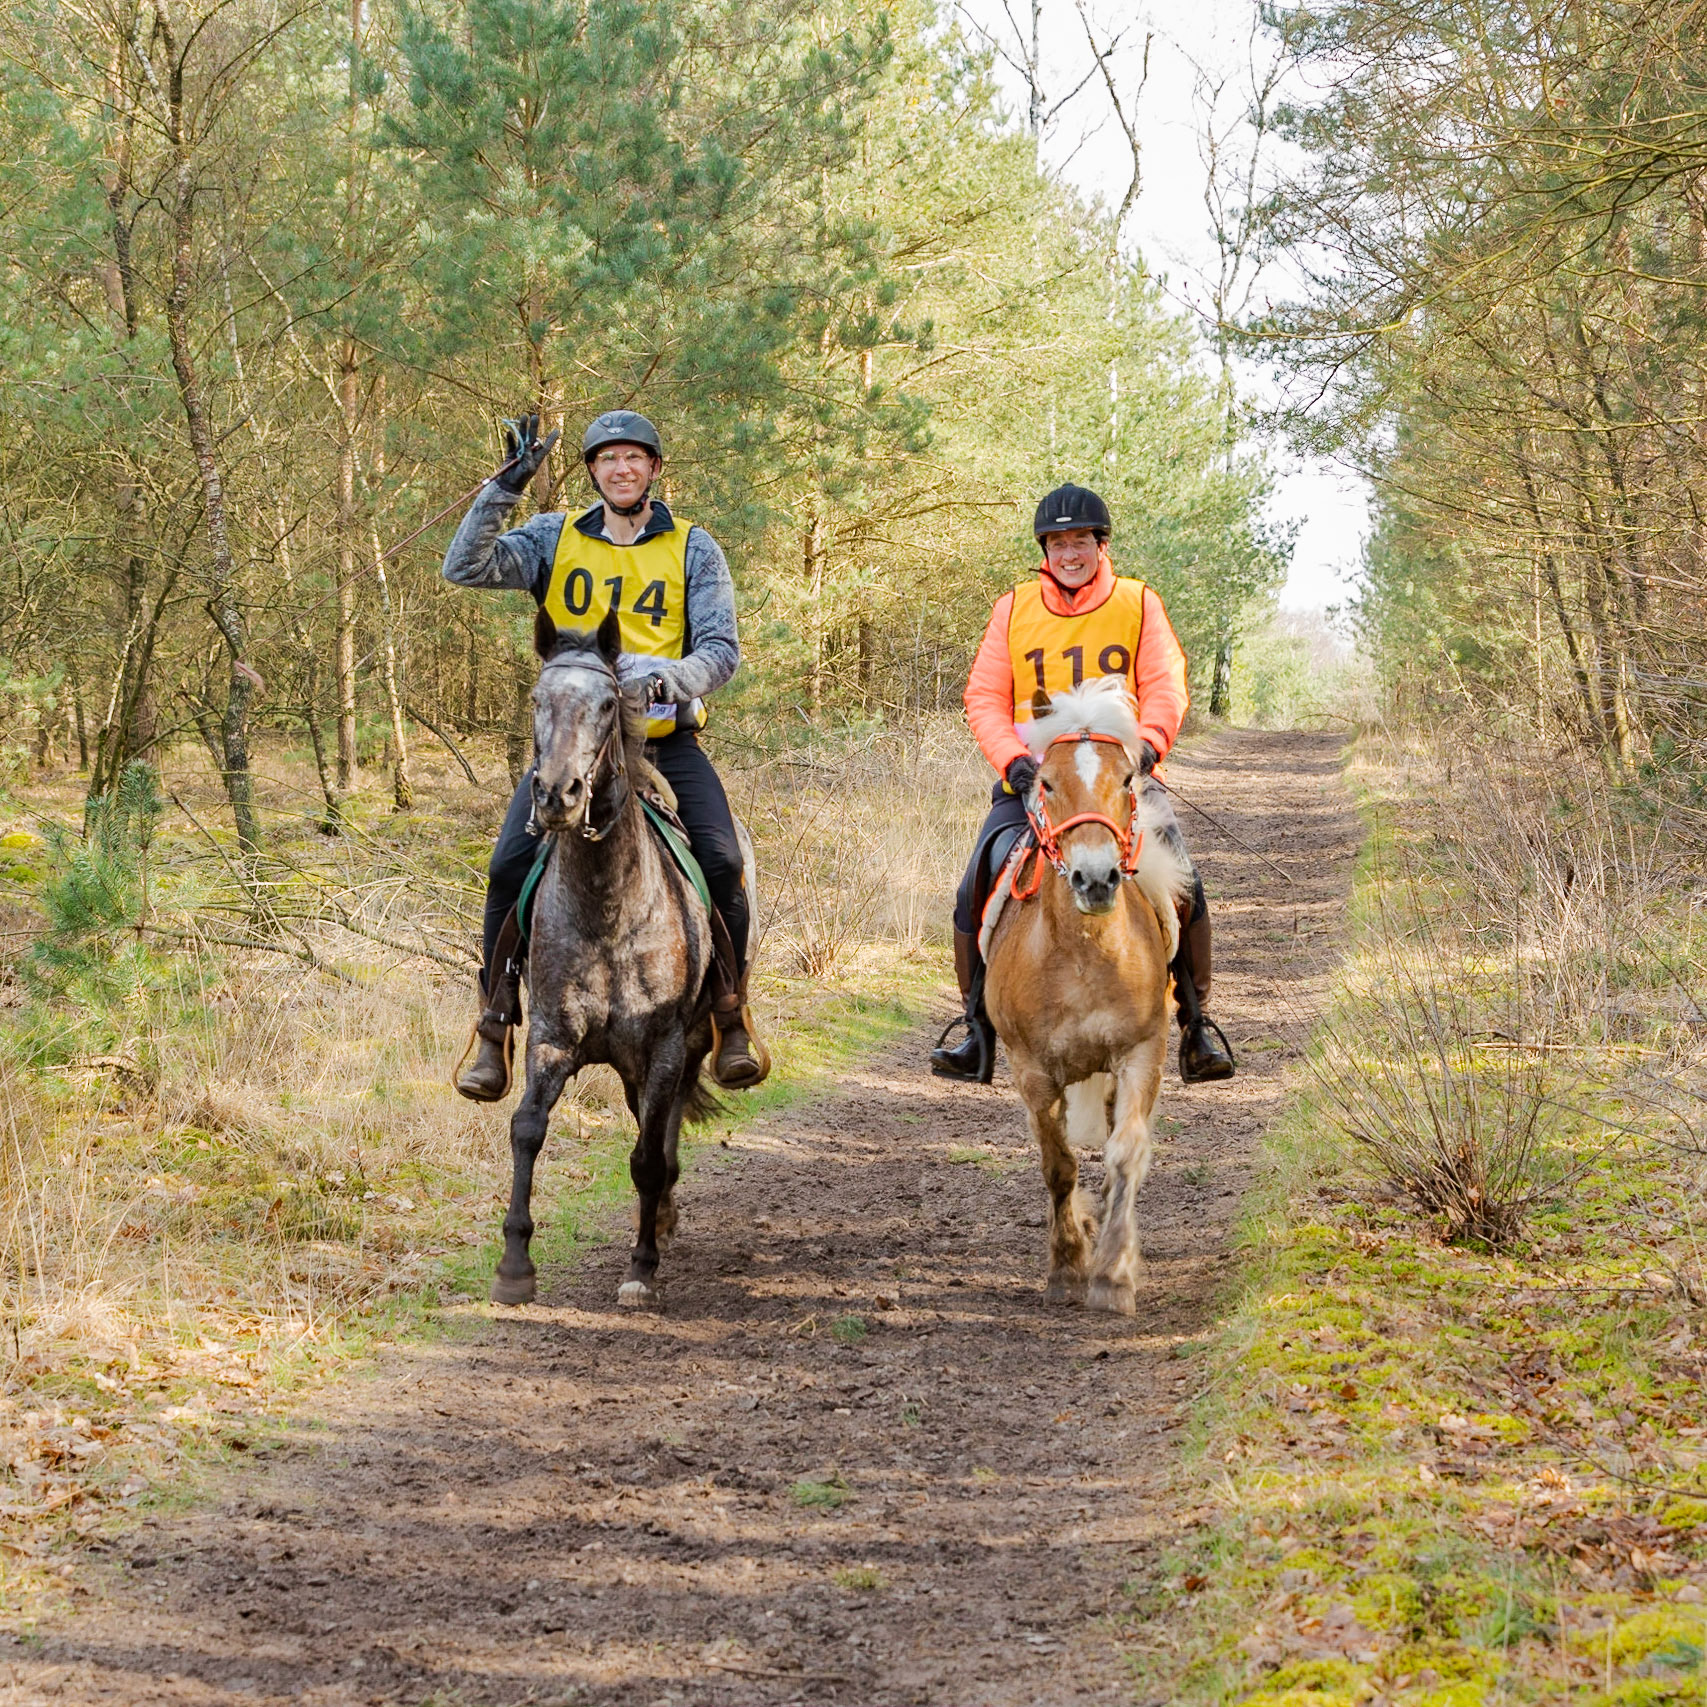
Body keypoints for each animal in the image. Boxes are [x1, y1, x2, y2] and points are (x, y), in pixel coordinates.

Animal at [491, 606, 718, 1310]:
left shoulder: (665, 1044)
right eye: (538, 700)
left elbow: (646, 1155)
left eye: (606, 704)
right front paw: (514, 1263)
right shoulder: (552, 1038)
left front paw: (642, 1267)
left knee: (660, 1132)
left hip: (686, 1045)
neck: (608, 910)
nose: (557, 795)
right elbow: (527, 1129)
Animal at [984, 677, 1194, 1315]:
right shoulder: (1031, 1070)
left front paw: (1113, 1273)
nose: (1096, 879)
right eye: (1047, 783)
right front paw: (1068, 1267)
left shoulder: (1141, 1055)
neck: (1083, 956)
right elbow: (1058, 1166)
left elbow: (1126, 1153)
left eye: (1126, 779)